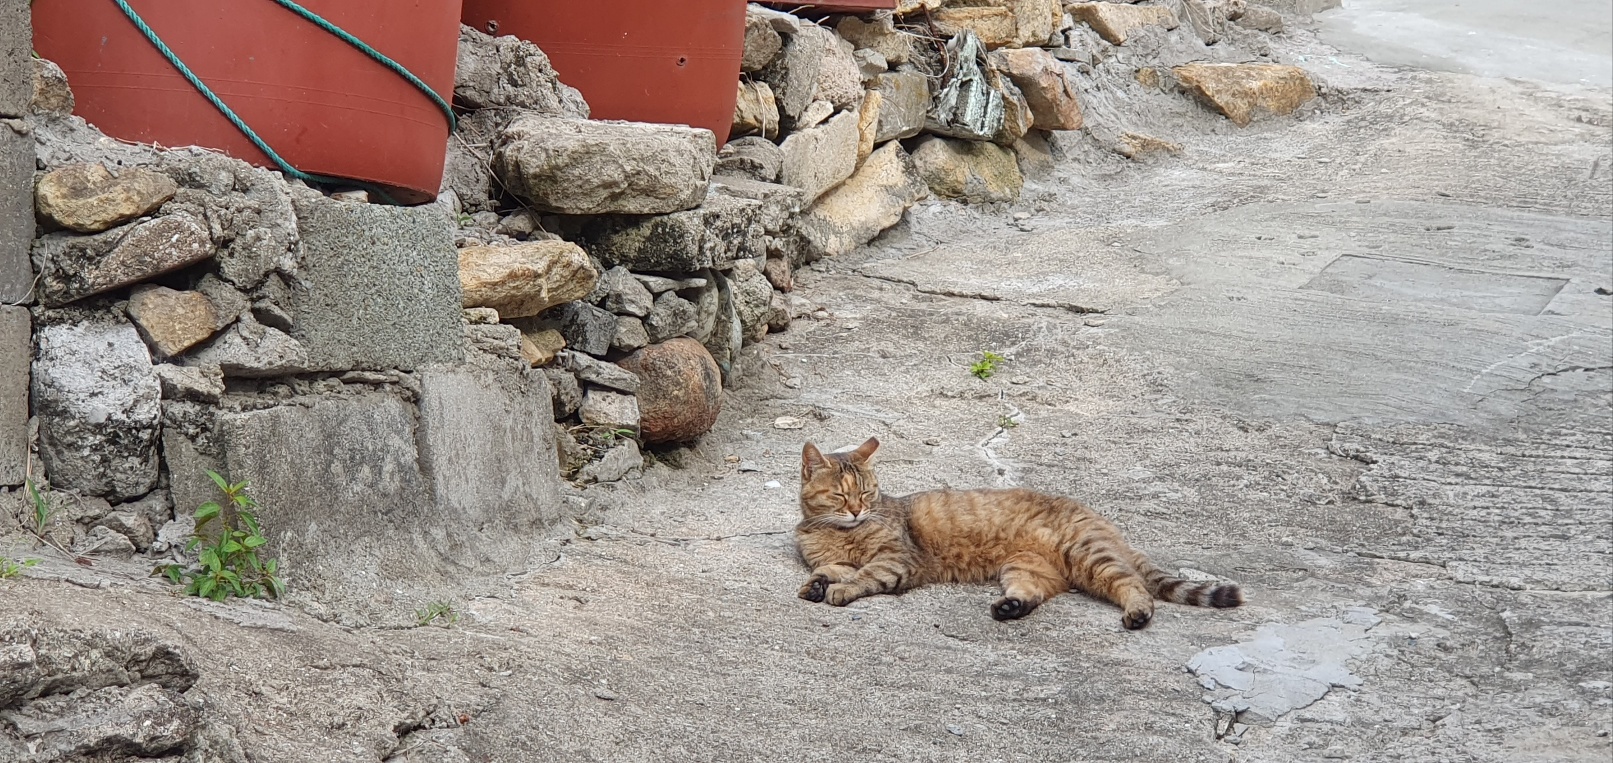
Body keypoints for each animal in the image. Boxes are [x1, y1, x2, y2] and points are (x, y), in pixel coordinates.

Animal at [796, 438, 1245, 629]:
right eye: (840, 495)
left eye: (866, 493)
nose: (858, 510)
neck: (835, 532)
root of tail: (1105, 522)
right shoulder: (840, 557)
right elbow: (830, 569)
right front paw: (817, 584)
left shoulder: (896, 558)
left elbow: (864, 575)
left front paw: (839, 589)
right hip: (1025, 568)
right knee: (1034, 593)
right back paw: (1010, 607)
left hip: (1089, 556)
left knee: (1134, 584)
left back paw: (1138, 613)